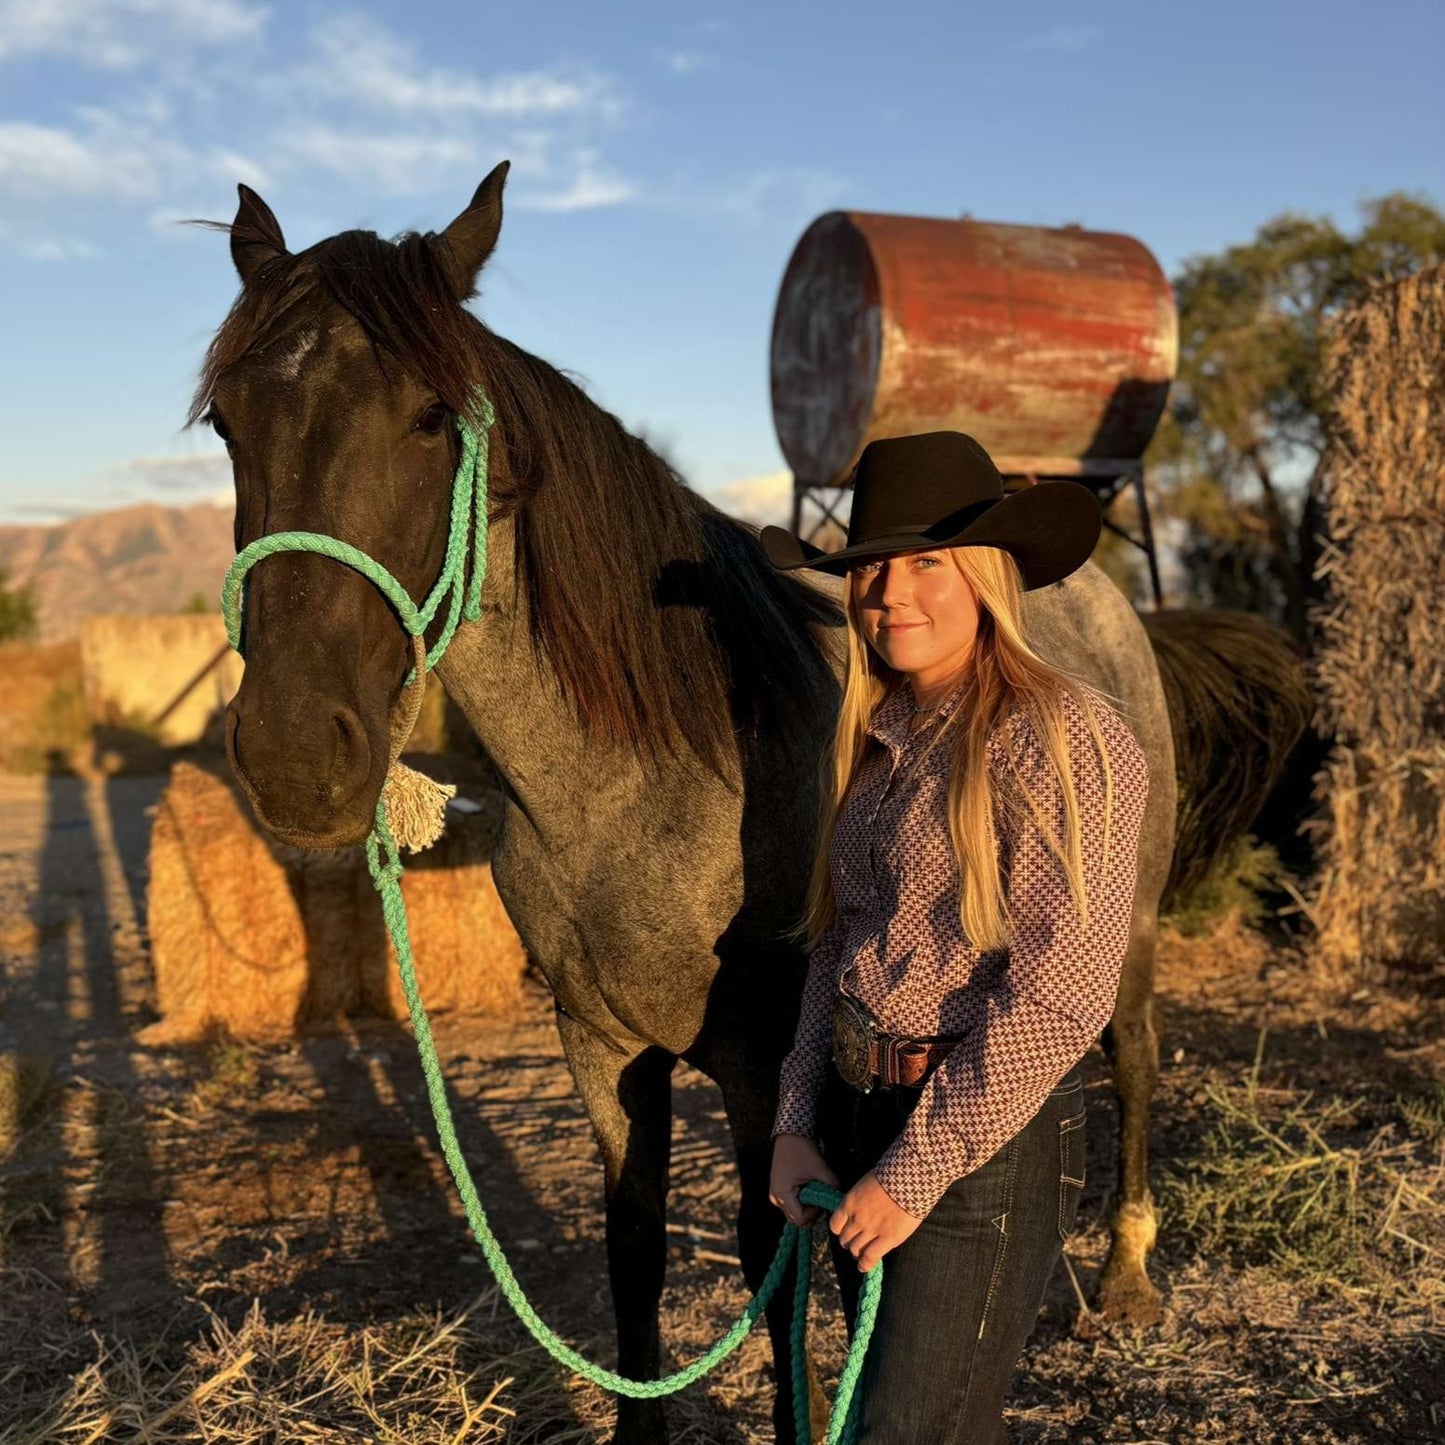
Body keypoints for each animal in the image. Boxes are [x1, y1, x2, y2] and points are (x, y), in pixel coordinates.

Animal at [192, 164, 1312, 1439]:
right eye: (227, 421)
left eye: (430, 416)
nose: (294, 752)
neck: (637, 790)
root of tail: (1114, 612)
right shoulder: (601, 1043)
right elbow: (634, 1245)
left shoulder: (757, 1057)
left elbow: (766, 1253)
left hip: (1119, 930)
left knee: (1129, 1058)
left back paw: (1123, 1276)